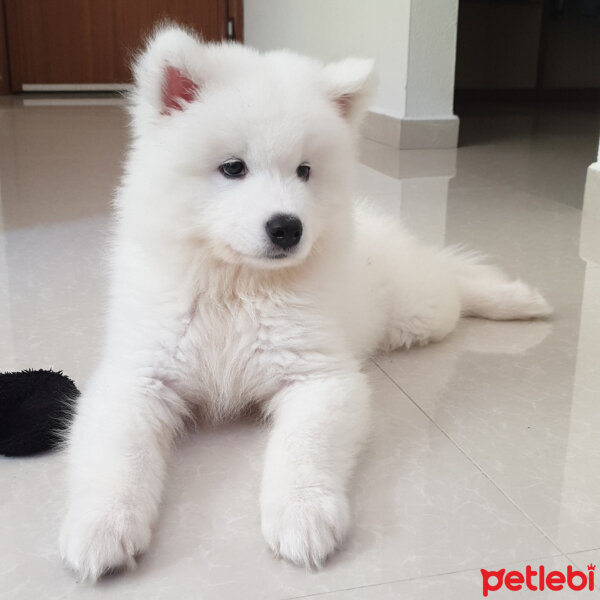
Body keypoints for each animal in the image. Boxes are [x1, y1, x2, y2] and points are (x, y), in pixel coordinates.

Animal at [58, 24, 552, 580]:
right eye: (233, 168)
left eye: (304, 171)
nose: (287, 227)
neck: (236, 287)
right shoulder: (139, 376)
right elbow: (118, 456)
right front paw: (102, 525)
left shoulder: (318, 377)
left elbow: (302, 450)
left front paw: (303, 516)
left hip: (420, 311)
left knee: (452, 275)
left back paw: (517, 298)